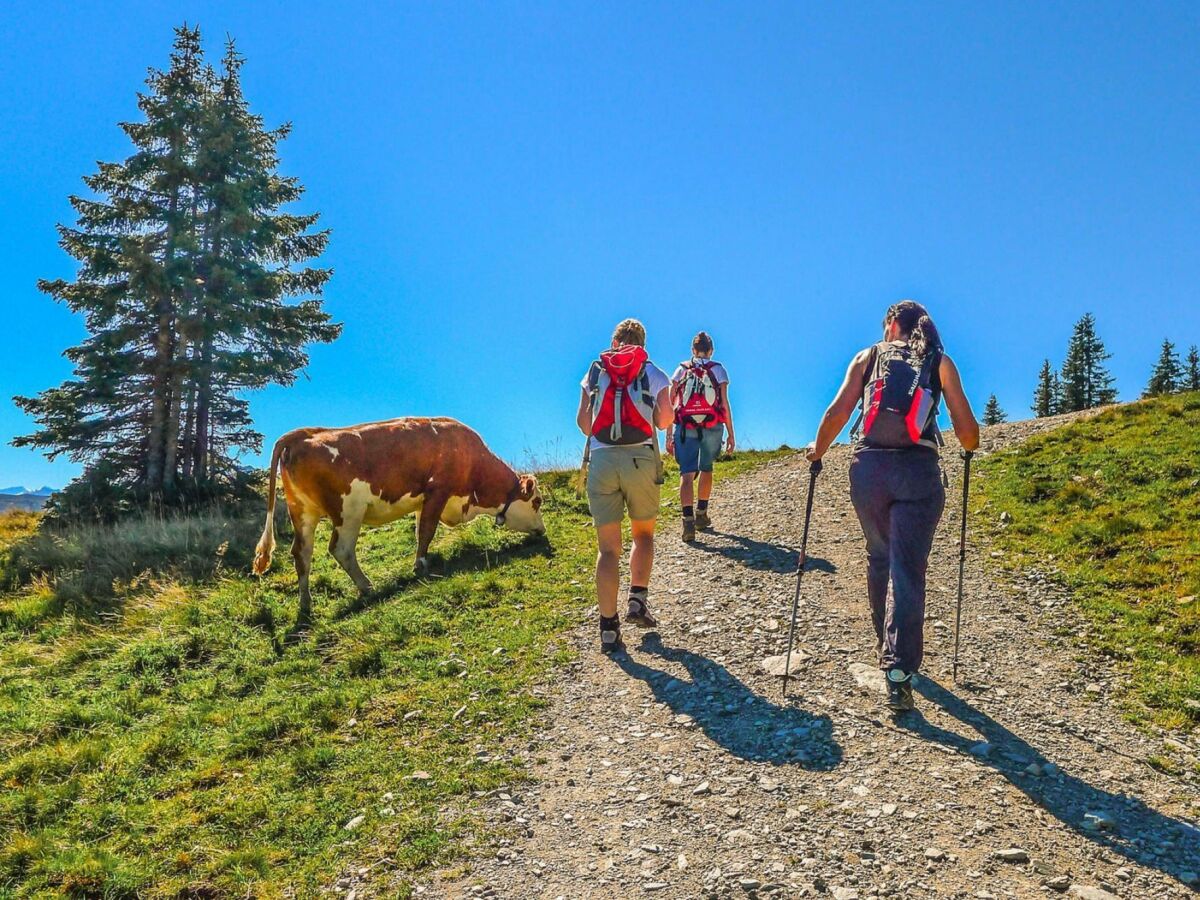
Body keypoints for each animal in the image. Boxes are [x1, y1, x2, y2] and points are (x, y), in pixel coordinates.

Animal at [258, 417, 549, 619]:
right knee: (341, 549)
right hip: (347, 512)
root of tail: (302, 434)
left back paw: (306, 603)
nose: (543, 531)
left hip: (303, 512)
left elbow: (421, 529)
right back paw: (367, 587)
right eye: (537, 501)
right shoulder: (438, 491)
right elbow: (427, 530)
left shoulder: (424, 501)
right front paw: (421, 566)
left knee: (302, 553)